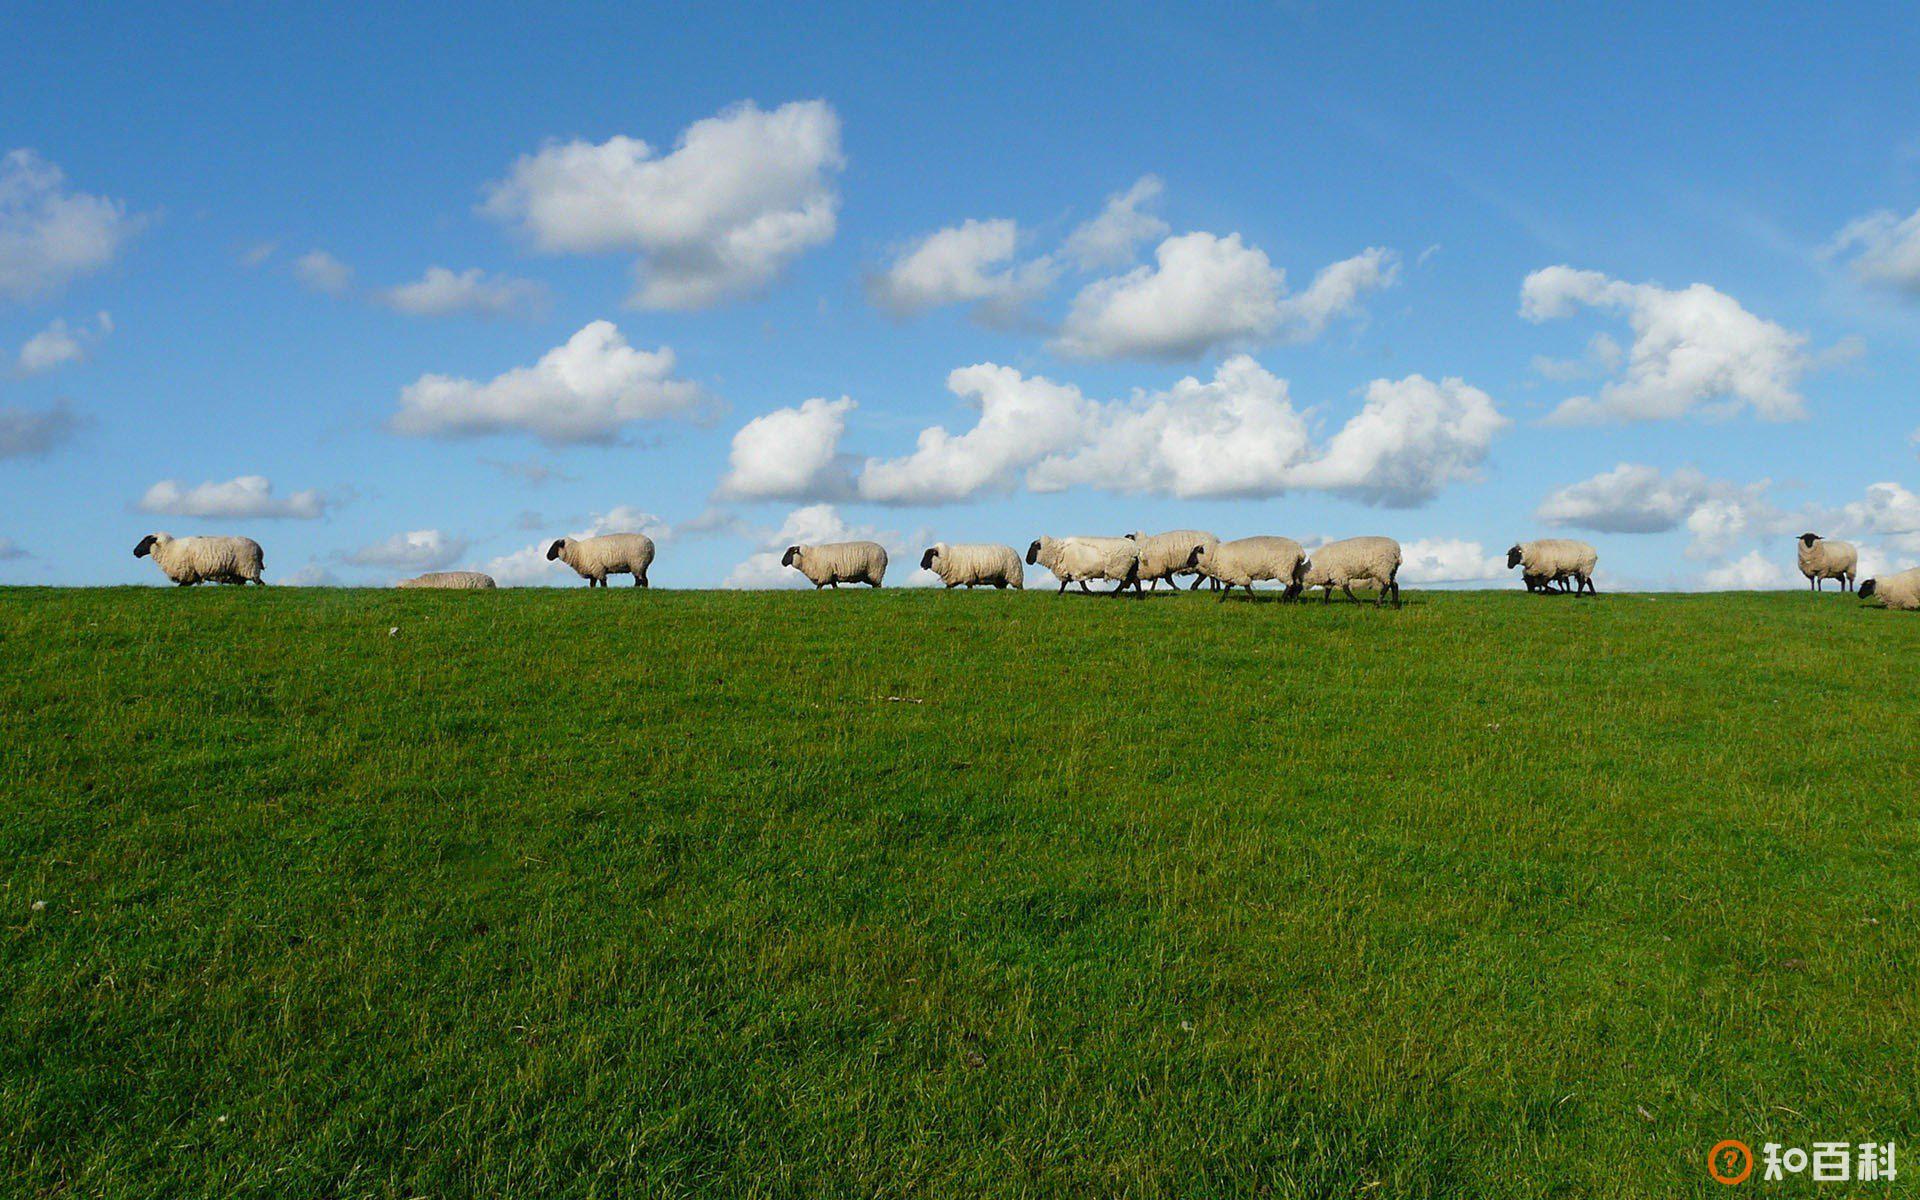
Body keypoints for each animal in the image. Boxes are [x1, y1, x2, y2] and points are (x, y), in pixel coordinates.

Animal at [133, 537, 264, 587]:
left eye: (145, 541)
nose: (135, 552)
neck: (170, 548)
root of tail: (259, 548)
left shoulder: (188, 573)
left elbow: (181, 586)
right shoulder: (192, 575)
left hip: (249, 568)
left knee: (260, 583)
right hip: (239, 573)